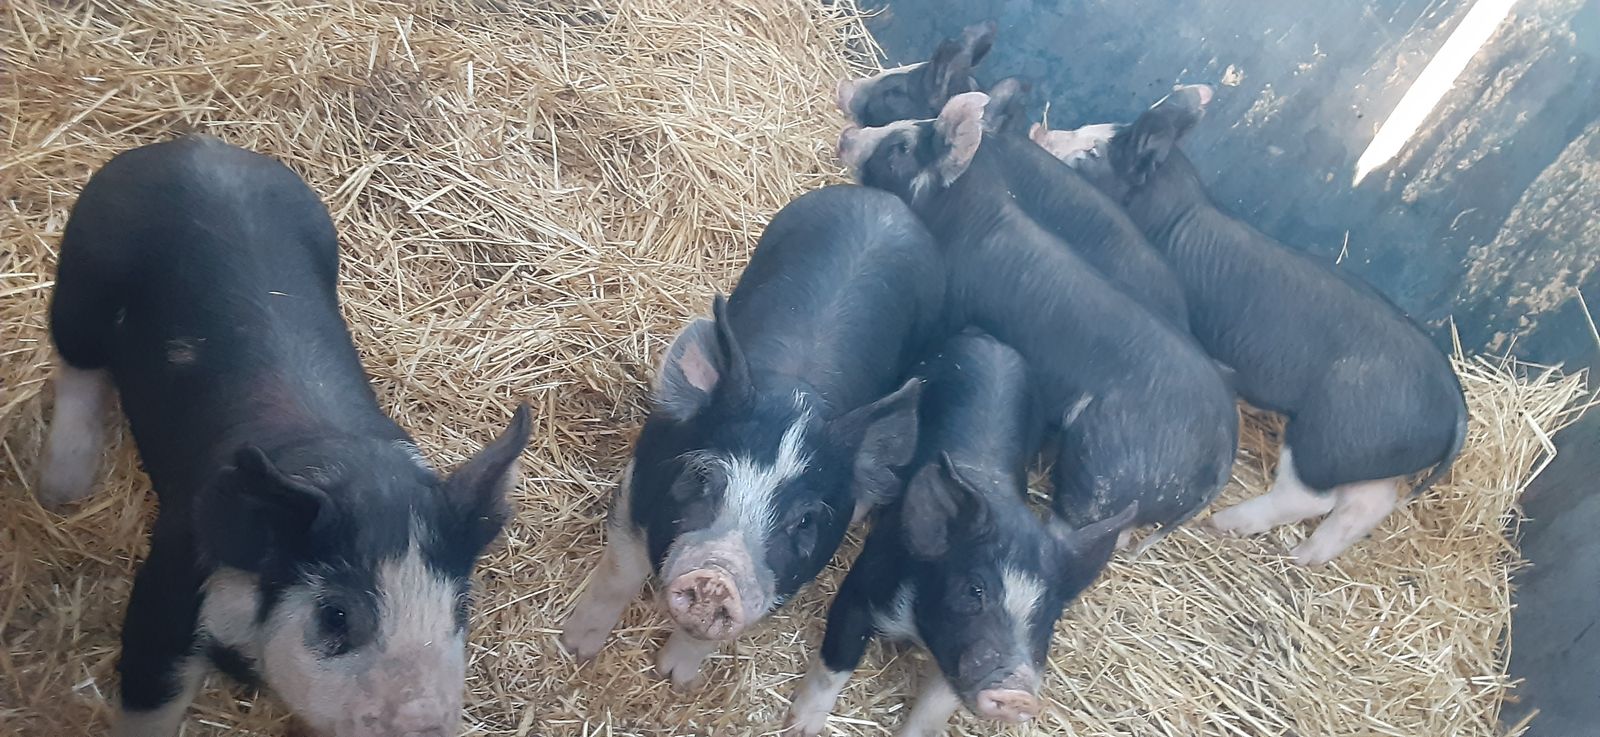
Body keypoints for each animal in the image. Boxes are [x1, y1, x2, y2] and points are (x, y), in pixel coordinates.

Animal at [34, 134, 532, 737]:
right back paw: (60, 490)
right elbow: (150, 692)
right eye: (336, 615)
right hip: (81, 275)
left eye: (460, 610)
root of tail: (191, 145)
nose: (422, 723)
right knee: (75, 361)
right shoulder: (175, 578)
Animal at [557, 185, 944, 688]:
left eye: (805, 520)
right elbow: (619, 572)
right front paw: (575, 648)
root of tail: (886, 199)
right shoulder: (636, 485)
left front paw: (676, 678)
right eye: (702, 478)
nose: (718, 578)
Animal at [784, 331, 1136, 737]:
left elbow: (933, 711)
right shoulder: (862, 586)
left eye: (1051, 614)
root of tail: (986, 337)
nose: (1017, 694)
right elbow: (835, 663)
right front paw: (797, 727)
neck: (921, 632)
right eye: (974, 589)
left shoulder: (959, 656)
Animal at [837, 93, 1239, 551]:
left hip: (1106, 473)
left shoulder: (943, 319)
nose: (846, 136)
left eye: (901, 148)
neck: (960, 215)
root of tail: (1221, 456)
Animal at [1031, 85, 1469, 565]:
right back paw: (1302, 556)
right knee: (1370, 500)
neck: (1170, 212)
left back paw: (1228, 525)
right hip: (1365, 452)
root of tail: (1456, 408)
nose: (1038, 129)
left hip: (1328, 438)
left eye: (1092, 151)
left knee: (1313, 496)